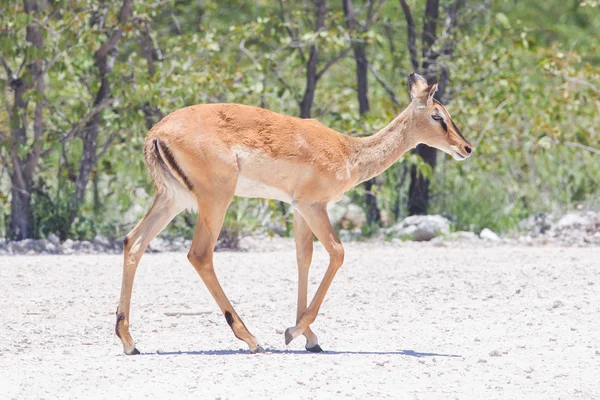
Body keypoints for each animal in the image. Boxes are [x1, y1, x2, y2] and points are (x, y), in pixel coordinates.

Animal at [116, 73, 474, 354]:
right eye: (438, 115)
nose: (466, 147)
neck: (348, 152)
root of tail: (157, 133)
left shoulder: (299, 209)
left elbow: (304, 257)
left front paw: (309, 337)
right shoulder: (314, 206)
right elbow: (337, 252)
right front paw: (294, 332)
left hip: (172, 200)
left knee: (133, 242)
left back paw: (130, 342)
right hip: (215, 201)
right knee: (199, 255)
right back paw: (251, 339)